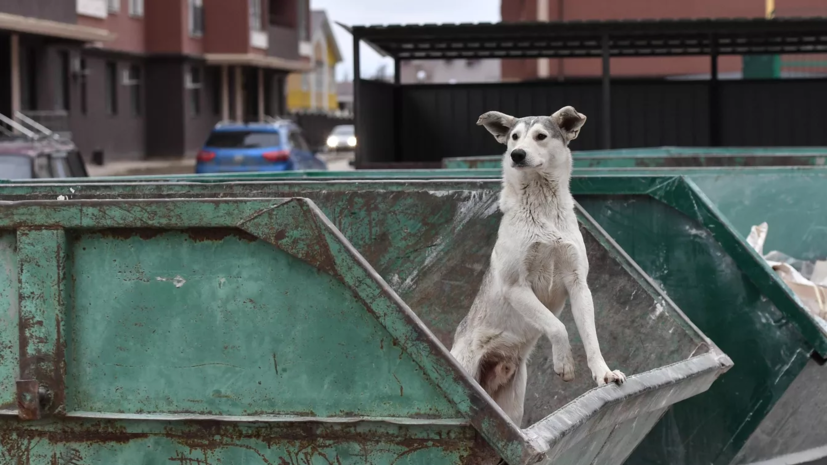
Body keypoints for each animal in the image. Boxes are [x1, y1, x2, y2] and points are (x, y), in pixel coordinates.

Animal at [452, 106, 628, 424]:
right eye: (514, 137)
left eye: (541, 136)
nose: (517, 154)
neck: (543, 207)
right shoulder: (516, 287)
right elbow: (558, 327)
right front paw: (564, 363)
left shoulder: (579, 285)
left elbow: (590, 337)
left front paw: (604, 374)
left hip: (512, 401)